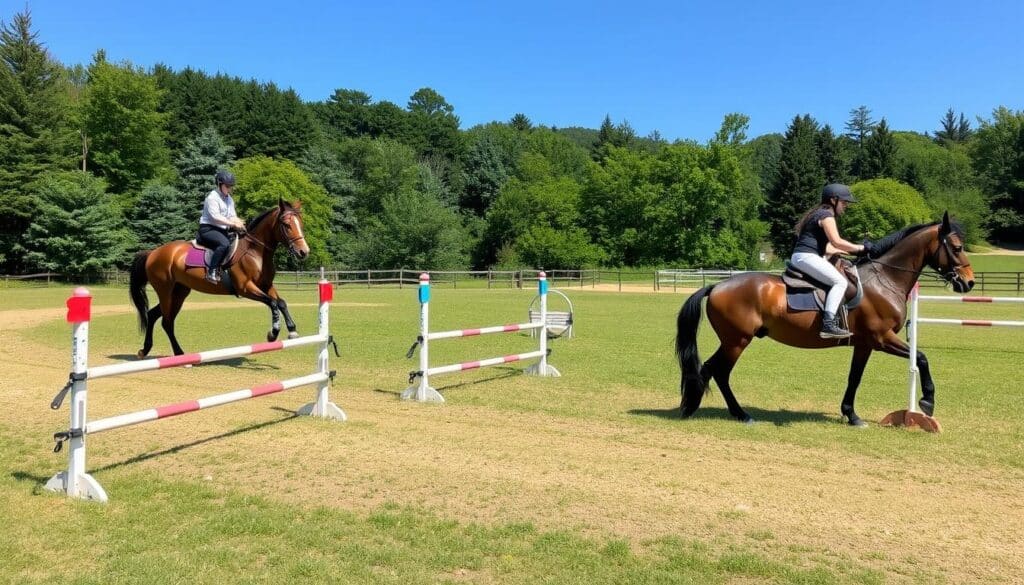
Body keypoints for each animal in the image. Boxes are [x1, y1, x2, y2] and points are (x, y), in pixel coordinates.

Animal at [126, 198, 307, 358]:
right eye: (286, 225)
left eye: (300, 224)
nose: (303, 252)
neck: (255, 252)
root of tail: (153, 253)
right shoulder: (245, 288)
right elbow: (273, 303)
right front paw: (273, 333)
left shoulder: (266, 285)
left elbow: (281, 302)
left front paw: (292, 330)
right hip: (165, 292)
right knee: (167, 322)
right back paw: (179, 354)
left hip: (178, 293)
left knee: (153, 315)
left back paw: (145, 350)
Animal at [679, 213, 974, 428]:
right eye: (957, 247)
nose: (969, 283)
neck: (885, 279)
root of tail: (716, 286)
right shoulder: (882, 339)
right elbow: (922, 358)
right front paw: (927, 402)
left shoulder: (865, 344)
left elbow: (854, 377)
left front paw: (851, 415)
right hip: (737, 341)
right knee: (719, 371)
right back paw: (738, 414)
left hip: (734, 340)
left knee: (711, 369)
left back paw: (698, 406)